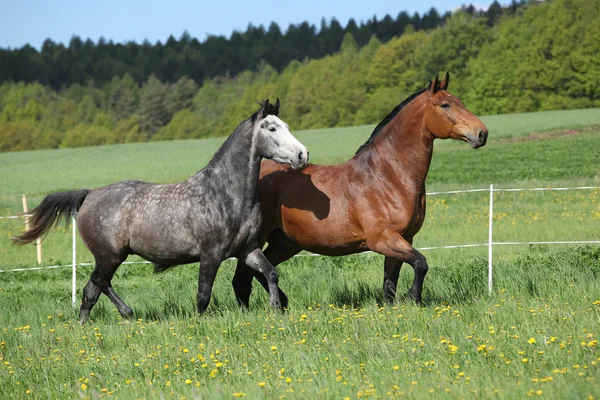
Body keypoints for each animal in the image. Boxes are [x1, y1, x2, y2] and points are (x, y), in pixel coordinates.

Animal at [15, 99, 308, 322]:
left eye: (286, 126)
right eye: (272, 128)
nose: (302, 155)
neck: (225, 194)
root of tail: (89, 196)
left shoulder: (247, 249)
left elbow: (270, 272)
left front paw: (276, 307)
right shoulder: (210, 254)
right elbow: (203, 295)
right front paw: (200, 322)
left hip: (107, 258)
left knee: (89, 292)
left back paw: (86, 325)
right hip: (110, 255)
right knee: (100, 282)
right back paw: (128, 312)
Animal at [231, 73, 488, 308]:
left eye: (459, 101)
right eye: (445, 105)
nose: (482, 133)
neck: (388, 176)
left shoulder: (403, 238)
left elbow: (390, 284)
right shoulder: (383, 239)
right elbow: (421, 263)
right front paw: (413, 297)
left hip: (286, 243)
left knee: (258, 272)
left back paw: (282, 303)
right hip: (257, 241)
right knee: (243, 278)